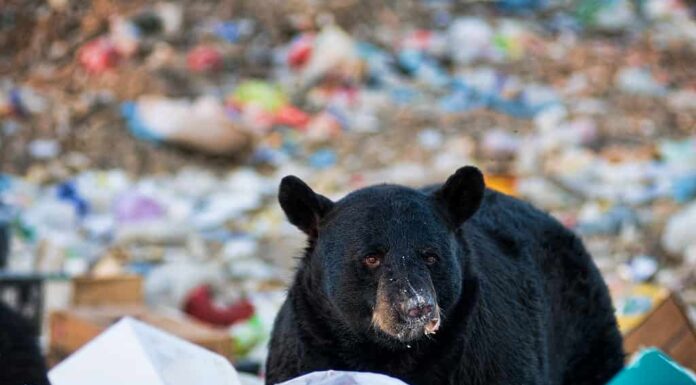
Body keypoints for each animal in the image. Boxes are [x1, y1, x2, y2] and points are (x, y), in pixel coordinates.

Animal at [268, 166, 624, 384]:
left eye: (430, 256)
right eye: (371, 258)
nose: (416, 307)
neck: (393, 355)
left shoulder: (491, 358)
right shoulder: (306, 351)